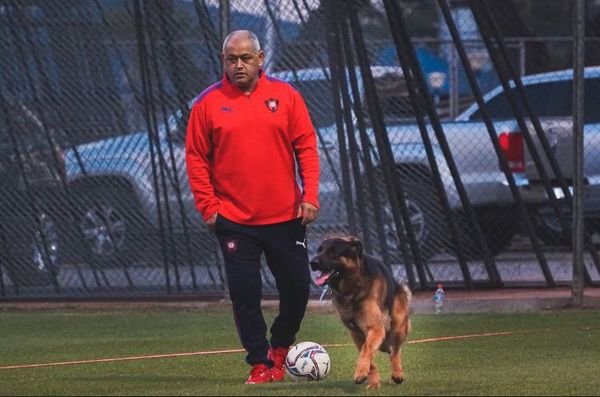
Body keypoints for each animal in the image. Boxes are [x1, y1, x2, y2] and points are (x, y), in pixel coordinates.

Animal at [310, 235, 412, 386]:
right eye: (319, 250)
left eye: (333, 251)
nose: (312, 262)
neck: (352, 287)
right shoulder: (356, 334)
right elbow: (367, 354)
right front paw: (372, 380)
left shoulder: (375, 328)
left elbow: (366, 350)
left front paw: (361, 372)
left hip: (398, 326)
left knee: (395, 350)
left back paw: (397, 373)